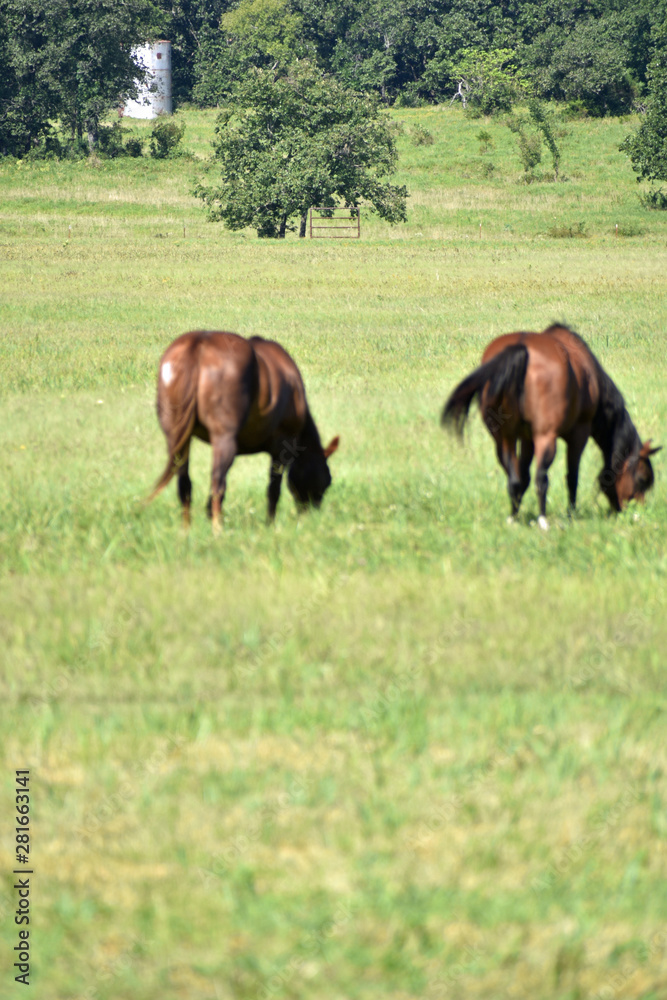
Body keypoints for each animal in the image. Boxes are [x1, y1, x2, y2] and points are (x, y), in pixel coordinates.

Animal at [150, 330, 340, 536]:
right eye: (326, 480)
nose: (311, 516)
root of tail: (199, 343)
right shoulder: (282, 448)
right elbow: (273, 490)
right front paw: (270, 525)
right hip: (223, 440)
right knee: (217, 485)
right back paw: (218, 530)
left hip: (178, 439)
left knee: (185, 483)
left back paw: (186, 530)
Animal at [440, 326, 660, 532]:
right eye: (642, 479)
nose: (637, 513)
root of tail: (520, 348)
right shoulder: (578, 435)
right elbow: (572, 477)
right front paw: (571, 514)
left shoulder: (527, 438)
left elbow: (524, 476)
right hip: (546, 438)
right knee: (541, 478)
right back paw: (542, 521)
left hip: (504, 438)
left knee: (514, 477)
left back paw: (513, 518)